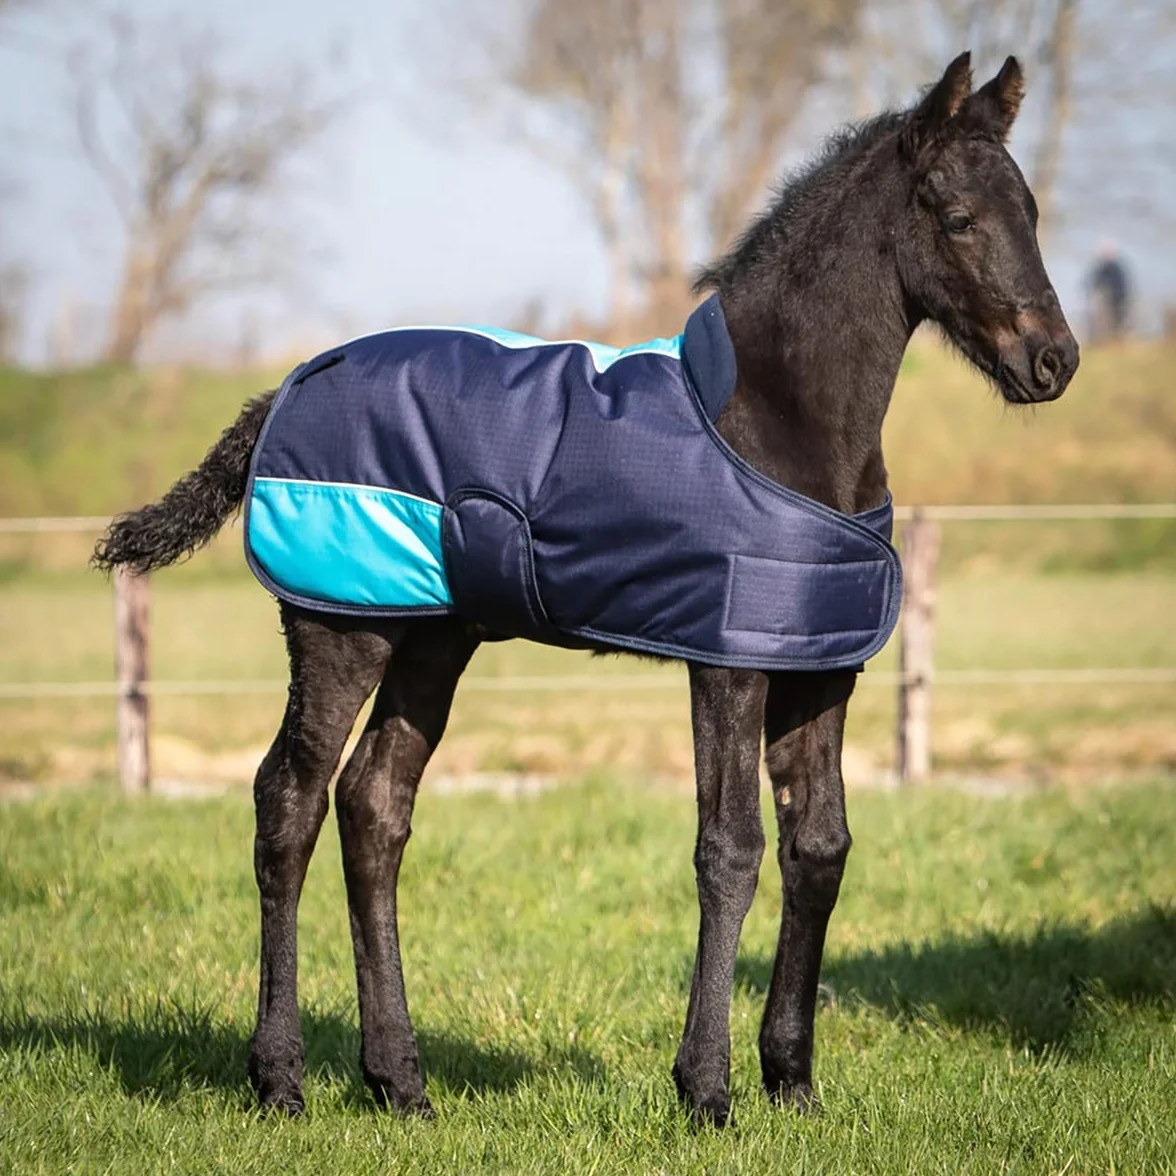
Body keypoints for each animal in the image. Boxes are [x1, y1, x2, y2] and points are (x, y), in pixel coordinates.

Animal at [94, 52, 1078, 1126]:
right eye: (957, 216)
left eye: (1032, 209)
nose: (1053, 361)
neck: (774, 423)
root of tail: (288, 387)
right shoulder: (727, 664)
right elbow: (729, 851)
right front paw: (707, 1092)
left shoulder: (819, 668)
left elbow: (819, 848)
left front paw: (793, 1084)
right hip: (337, 625)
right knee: (290, 803)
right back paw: (280, 1080)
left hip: (431, 637)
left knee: (373, 807)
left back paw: (401, 1083)